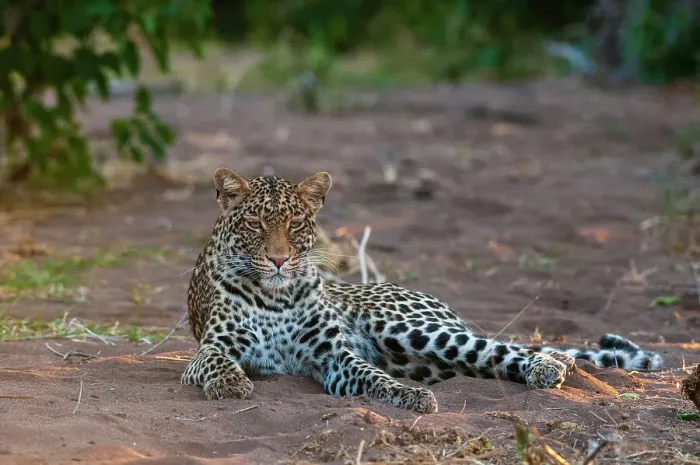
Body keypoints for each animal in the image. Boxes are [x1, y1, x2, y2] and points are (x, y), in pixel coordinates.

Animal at [181, 167, 663, 413]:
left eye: (296, 223)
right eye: (255, 223)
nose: (280, 260)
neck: (276, 297)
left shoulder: (333, 356)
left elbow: (371, 375)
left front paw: (410, 398)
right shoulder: (209, 351)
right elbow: (216, 363)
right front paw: (233, 385)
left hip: (413, 329)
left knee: (502, 347)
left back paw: (549, 366)